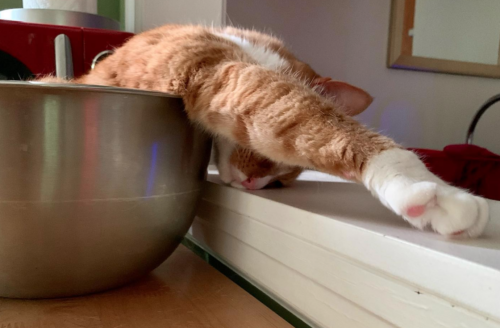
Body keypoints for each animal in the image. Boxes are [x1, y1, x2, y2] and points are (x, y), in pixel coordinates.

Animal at [39, 24, 488, 237]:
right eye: (271, 162)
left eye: (279, 185)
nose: (255, 184)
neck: (257, 49)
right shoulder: (221, 72)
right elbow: (329, 126)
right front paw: (438, 195)